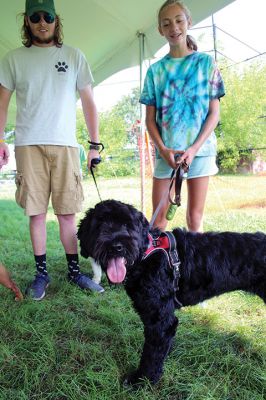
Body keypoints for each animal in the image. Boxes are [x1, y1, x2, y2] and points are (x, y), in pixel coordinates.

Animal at [77, 200, 266, 384]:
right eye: (100, 224)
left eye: (126, 224)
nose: (116, 246)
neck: (146, 254)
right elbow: (160, 348)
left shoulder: (160, 319)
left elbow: (151, 354)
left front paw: (142, 379)